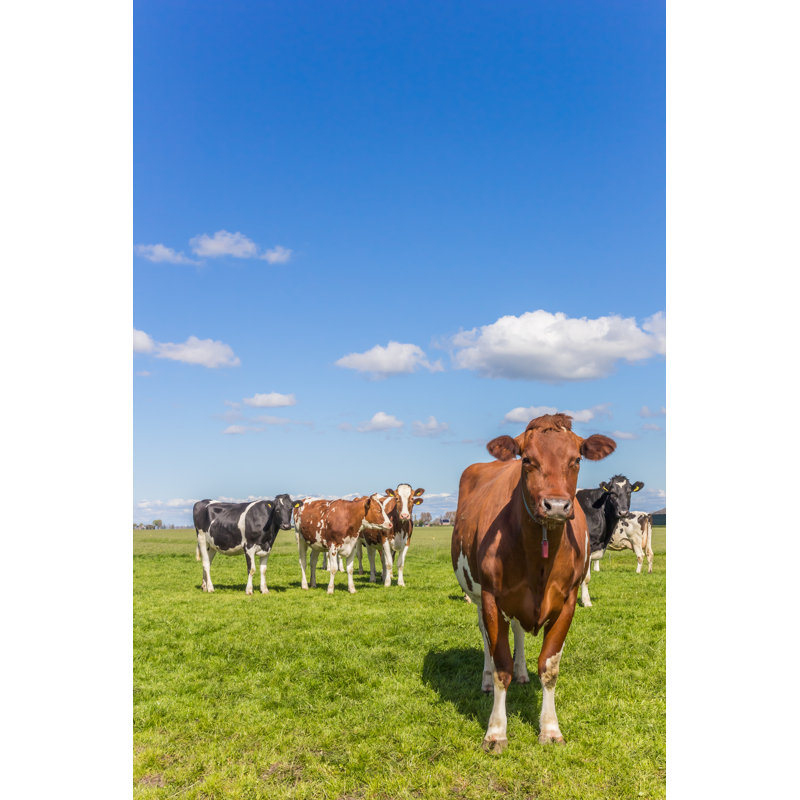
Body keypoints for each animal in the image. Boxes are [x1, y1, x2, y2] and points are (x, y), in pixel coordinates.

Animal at [451, 413, 615, 751]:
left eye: (576, 459)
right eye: (527, 460)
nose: (556, 506)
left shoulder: (567, 601)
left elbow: (549, 667)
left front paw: (550, 728)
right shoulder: (491, 597)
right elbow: (500, 665)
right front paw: (496, 731)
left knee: (517, 630)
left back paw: (522, 671)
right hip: (478, 596)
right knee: (485, 638)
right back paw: (486, 679)